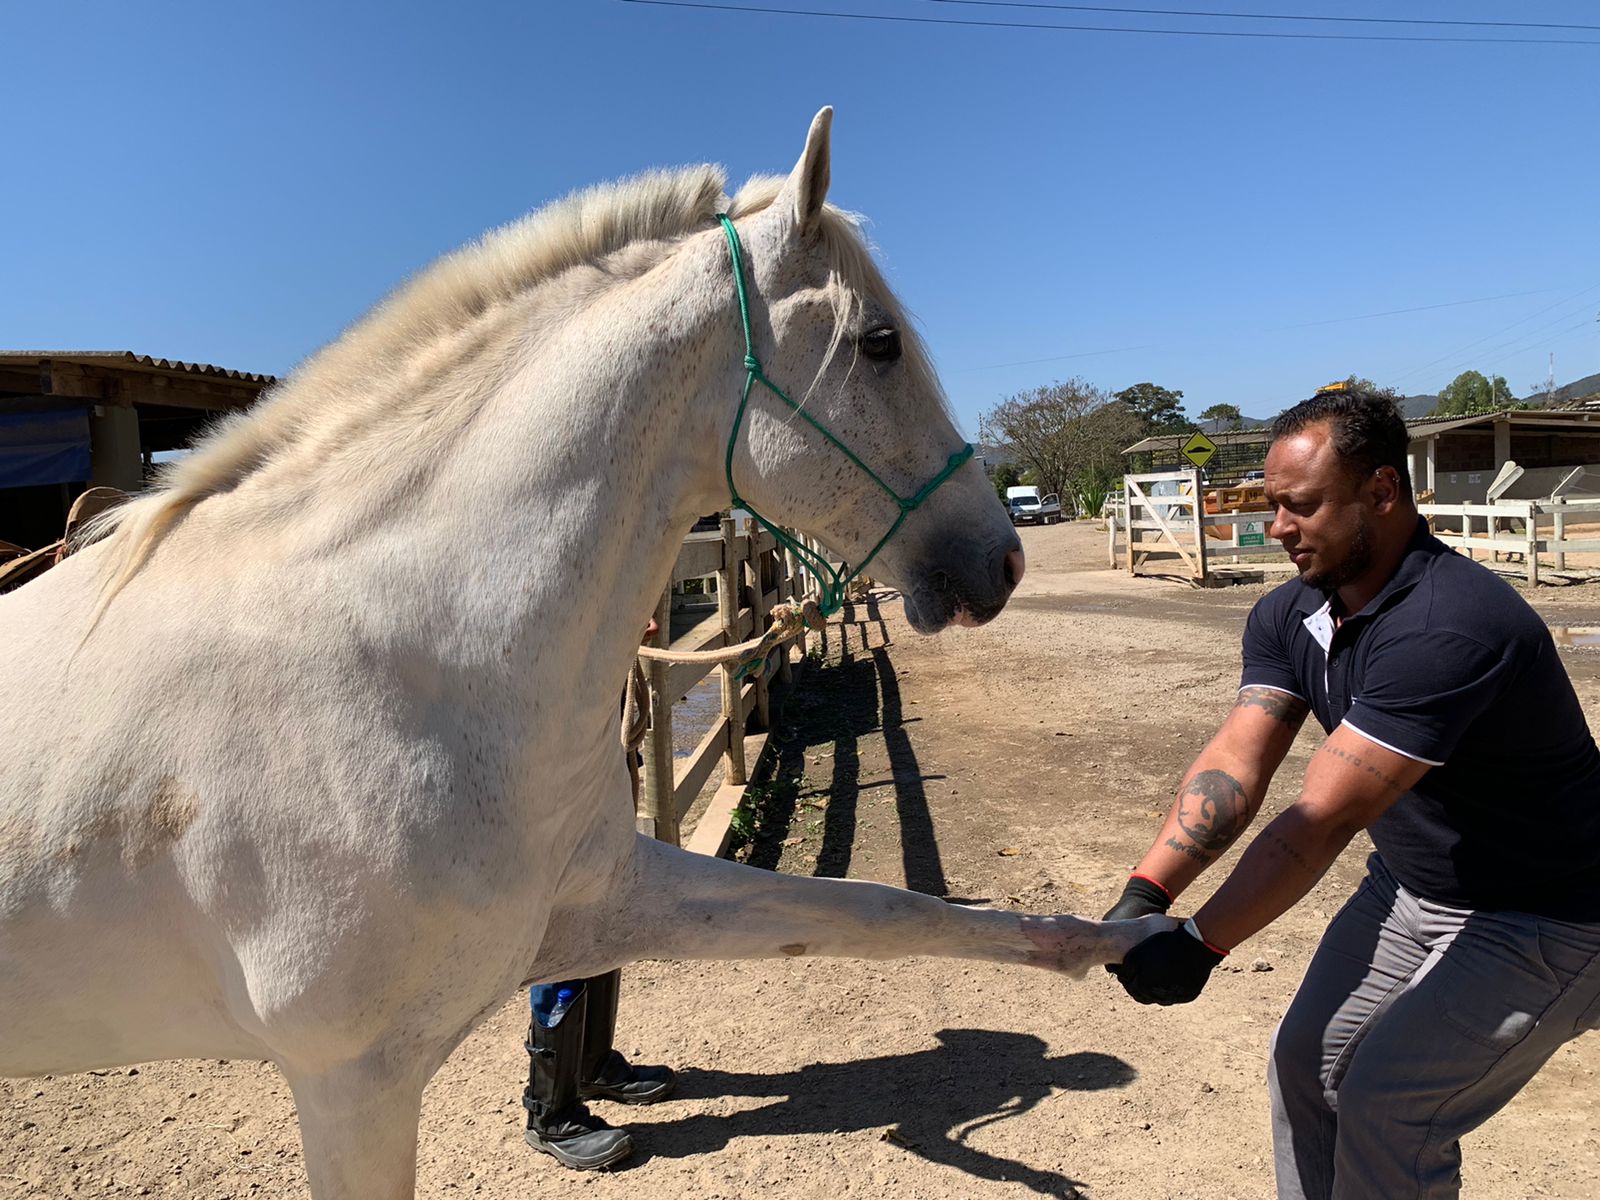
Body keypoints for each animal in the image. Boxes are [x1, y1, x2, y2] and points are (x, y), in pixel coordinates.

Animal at [0, 110, 1177, 1196]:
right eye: (879, 342)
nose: (1001, 559)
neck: (390, 656)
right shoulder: (350, 1082)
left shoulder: (608, 901)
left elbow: (893, 913)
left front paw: (1113, 943)